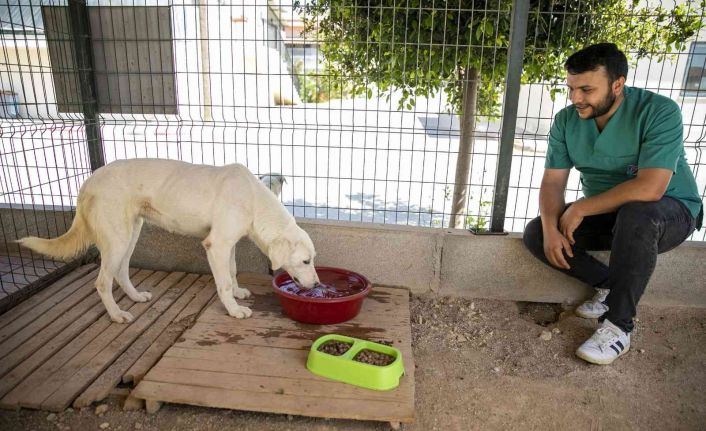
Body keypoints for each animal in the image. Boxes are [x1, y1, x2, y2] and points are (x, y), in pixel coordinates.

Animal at [18, 159, 319, 323]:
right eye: (306, 261)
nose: (317, 286)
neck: (253, 199)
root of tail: (88, 181)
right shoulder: (216, 245)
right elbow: (222, 282)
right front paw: (234, 309)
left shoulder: (228, 243)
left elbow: (232, 271)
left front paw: (237, 292)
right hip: (117, 239)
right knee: (102, 282)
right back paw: (117, 315)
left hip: (131, 234)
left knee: (120, 272)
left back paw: (135, 297)